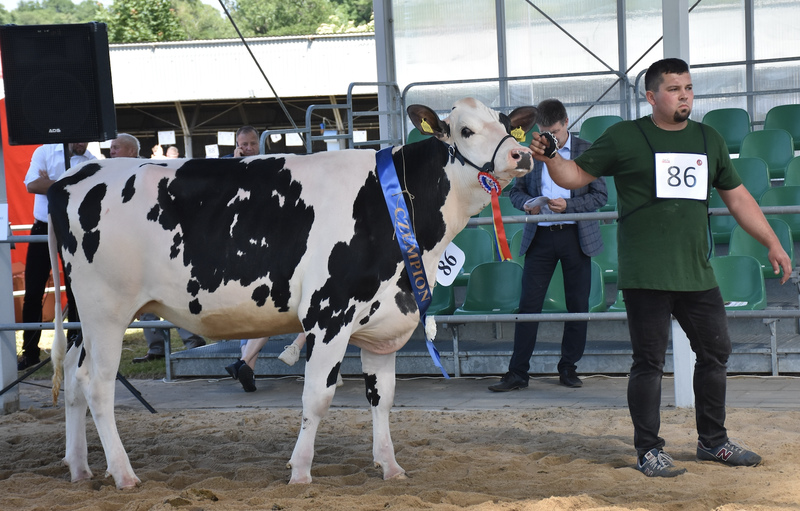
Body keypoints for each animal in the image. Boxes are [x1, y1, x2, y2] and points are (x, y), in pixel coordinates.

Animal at [48, 99, 536, 488]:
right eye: (466, 130)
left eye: (506, 124)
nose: (523, 154)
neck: (395, 202)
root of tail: (71, 176)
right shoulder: (329, 314)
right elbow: (317, 398)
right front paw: (300, 471)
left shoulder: (383, 323)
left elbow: (383, 397)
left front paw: (390, 467)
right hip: (107, 310)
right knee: (96, 385)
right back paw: (123, 474)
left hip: (83, 317)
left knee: (72, 378)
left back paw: (79, 468)